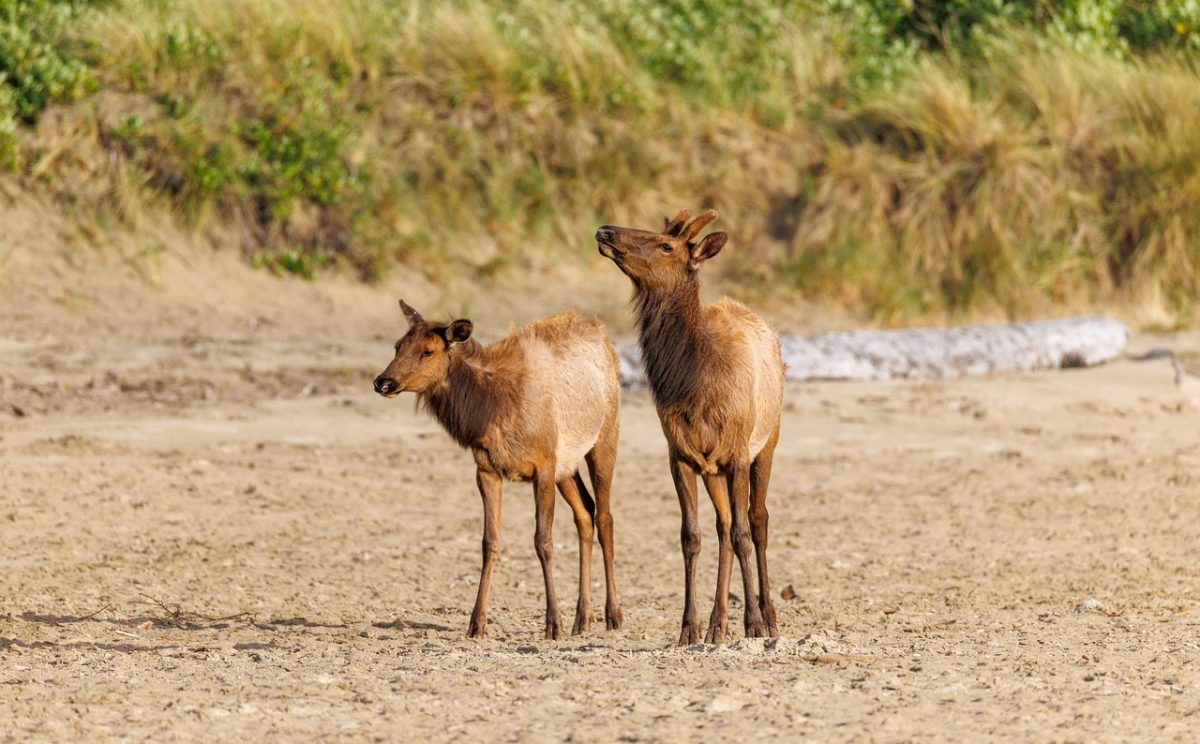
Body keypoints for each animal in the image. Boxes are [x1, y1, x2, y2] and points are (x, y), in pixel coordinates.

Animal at [372, 301, 622, 640]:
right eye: (398, 345)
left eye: (428, 351)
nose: (383, 381)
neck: (491, 411)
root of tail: (605, 339)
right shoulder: (487, 469)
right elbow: (489, 542)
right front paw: (477, 623)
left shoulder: (544, 465)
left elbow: (543, 541)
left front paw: (552, 623)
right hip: (567, 465)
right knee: (585, 514)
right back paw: (583, 618)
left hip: (604, 438)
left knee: (605, 518)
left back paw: (613, 615)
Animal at [595, 209, 783, 645]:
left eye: (666, 245)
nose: (605, 230)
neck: (694, 383)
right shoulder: (680, 455)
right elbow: (691, 537)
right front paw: (689, 627)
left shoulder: (737, 453)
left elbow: (744, 533)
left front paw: (753, 623)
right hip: (712, 469)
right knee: (724, 525)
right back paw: (719, 622)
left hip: (767, 442)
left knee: (757, 521)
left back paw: (767, 616)